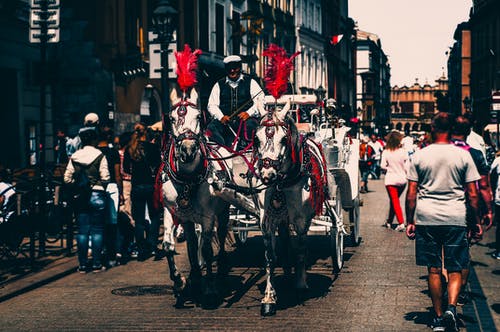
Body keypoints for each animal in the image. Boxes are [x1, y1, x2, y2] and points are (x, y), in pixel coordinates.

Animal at [159, 87, 231, 308]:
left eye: (199, 116)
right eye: (172, 118)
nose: (188, 149)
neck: (188, 179)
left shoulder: (208, 216)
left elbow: (207, 250)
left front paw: (210, 289)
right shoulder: (171, 210)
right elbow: (168, 246)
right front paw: (180, 282)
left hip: (223, 211)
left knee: (220, 234)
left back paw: (220, 269)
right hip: (188, 218)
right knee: (192, 243)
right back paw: (195, 276)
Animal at [254, 102, 328, 316]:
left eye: (283, 138)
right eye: (256, 138)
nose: (267, 174)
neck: (282, 182)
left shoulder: (302, 219)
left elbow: (301, 251)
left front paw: (301, 284)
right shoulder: (266, 219)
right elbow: (270, 256)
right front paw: (269, 298)